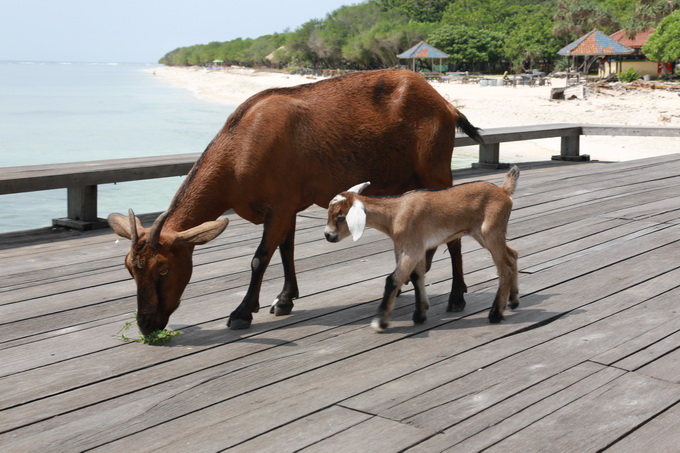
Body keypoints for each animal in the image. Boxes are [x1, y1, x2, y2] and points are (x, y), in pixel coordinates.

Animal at [106, 69, 480, 334]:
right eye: (129, 269)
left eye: (164, 269)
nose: (147, 324)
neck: (241, 149)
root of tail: (447, 106)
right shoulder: (287, 205)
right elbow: (286, 250)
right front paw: (284, 300)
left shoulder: (281, 203)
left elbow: (260, 258)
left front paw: (242, 313)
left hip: (435, 168)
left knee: (455, 234)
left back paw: (457, 297)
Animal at [324, 166, 520, 332]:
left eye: (341, 217)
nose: (328, 235)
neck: (394, 213)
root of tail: (504, 191)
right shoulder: (413, 248)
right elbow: (417, 276)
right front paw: (420, 314)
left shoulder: (411, 249)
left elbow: (393, 279)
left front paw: (380, 322)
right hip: (487, 234)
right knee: (513, 255)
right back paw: (513, 300)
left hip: (490, 231)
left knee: (505, 268)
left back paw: (495, 314)